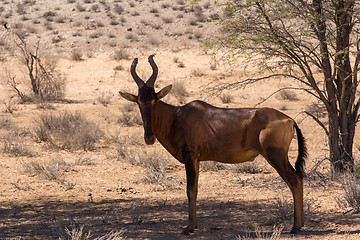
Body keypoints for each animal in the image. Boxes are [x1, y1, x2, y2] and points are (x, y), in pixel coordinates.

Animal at [119, 54, 308, 234]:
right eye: (139, 101)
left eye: (155, 100)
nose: (149, 138)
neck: (178, 116)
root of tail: (289, 120)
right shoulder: (196, 160)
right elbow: (195, 190)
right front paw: (193, 225)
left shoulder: (190, 157)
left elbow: (189, 190)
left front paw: (188, 228)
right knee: (298, 180)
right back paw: (299, 225)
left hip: (276, 156)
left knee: (295, 180)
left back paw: (295, 227)